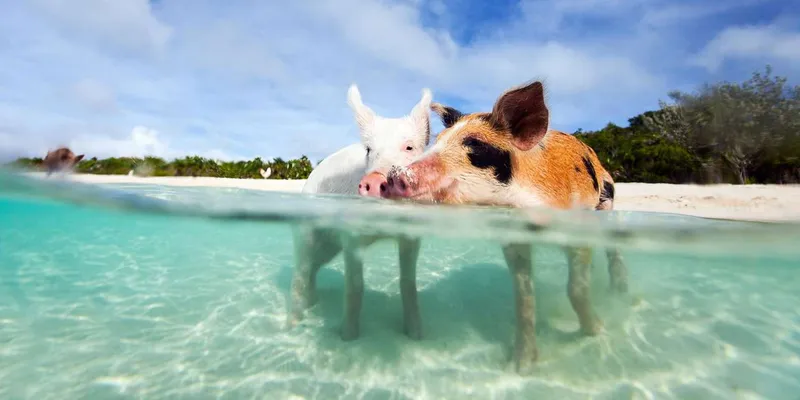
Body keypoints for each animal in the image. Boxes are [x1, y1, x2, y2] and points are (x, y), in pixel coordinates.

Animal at [287, 83, 433, 341]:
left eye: (409, 147)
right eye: (369, 150)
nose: (374, 180)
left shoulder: (411, 237)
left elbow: (408, 283)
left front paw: (416, 335)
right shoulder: (351, 237)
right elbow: (355, 285)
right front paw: (348, 337)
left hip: (329, 247)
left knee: (313, 268)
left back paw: (313, 303)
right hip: (306, 229)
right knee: (300, 272)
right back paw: (292, 327)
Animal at [380, 80, 629, 373]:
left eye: (475, 145)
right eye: (437, 142)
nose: (393, 175)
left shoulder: (576, 227)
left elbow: (576, 288)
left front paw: (596, 332)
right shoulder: (514, 240)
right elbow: (524, 298)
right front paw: (521, 367)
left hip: (607, 201)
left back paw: (619, 292)